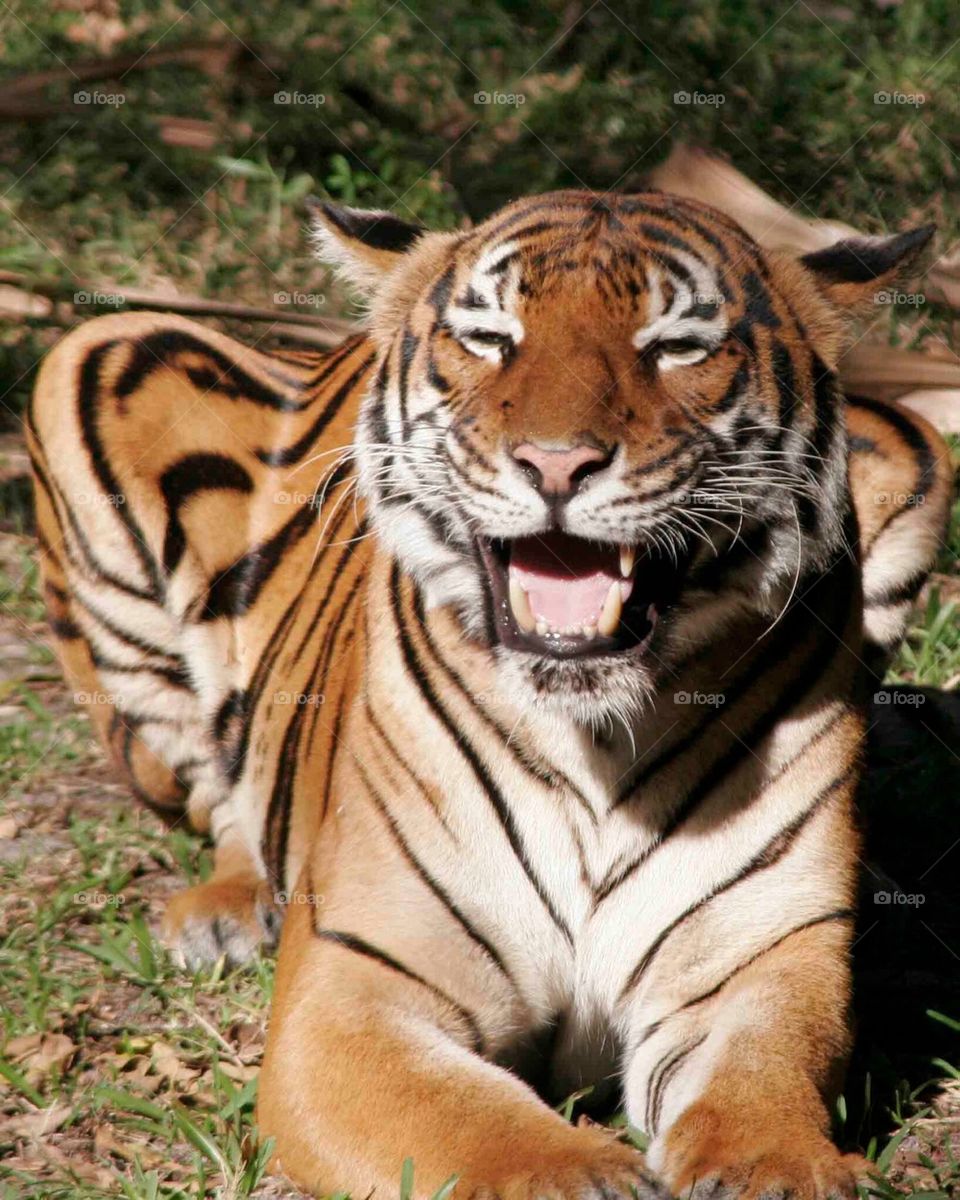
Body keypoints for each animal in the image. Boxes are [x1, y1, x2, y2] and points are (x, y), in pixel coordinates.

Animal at [29, 188, 954, 1200]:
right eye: (489, 338)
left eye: (676, 347)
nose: (555, 464)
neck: (596, 742)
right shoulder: (357, 987)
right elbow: (472, 1125)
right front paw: (577, 1173)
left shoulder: (756, 964)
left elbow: (761, 1086)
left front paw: (776, 1170)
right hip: (95, 354)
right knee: (215, 787)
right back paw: (227, 914)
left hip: (912, 439)